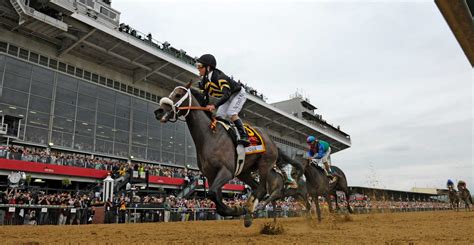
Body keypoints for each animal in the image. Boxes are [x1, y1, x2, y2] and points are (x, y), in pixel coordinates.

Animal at [154, 83, 278, 228]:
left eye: (178, 95)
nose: (159, 111)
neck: (209, 136)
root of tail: (271, 139)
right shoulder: (211, 174)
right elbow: (216, 199)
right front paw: (236, 209)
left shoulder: (226, 171)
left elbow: (212, 194)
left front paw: (237, 209)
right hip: (243, 172)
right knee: (256, 187)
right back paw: (248, 211)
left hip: (264, 164)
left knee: (262, 189)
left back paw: (248, 214)